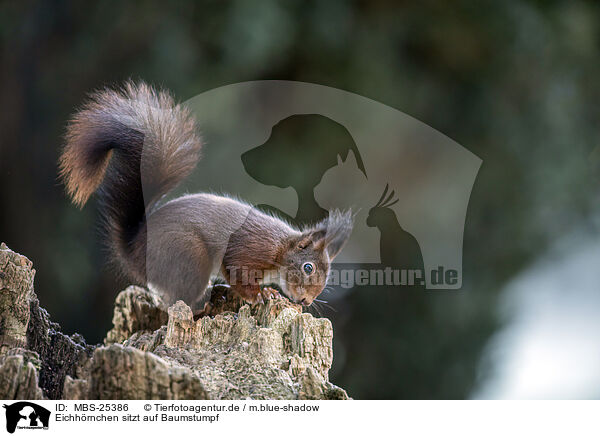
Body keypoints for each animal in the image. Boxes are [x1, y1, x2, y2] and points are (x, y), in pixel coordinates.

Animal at [58, 82, 354, 312]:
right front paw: (260, 295)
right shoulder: (248, 250)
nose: (306, 302)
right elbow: (237, 273)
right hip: (188, 255)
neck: (280, 249)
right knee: (178, 302)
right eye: (308, 268)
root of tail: (133, 250)